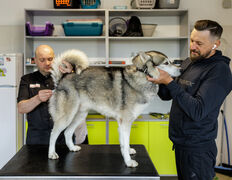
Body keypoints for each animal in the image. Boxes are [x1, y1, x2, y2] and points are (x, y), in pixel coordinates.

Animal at [48, 49, 180, 167]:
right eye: (166, 63)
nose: (180, 69)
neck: (142, 76)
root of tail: (62, 78)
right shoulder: (125, 122)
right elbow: (125, 143)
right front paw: (128, 162)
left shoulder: (123, 124)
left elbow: (124, 143)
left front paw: (128, 152)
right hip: (67, 117)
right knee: (53, 133)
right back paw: (51, 153)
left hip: (79, 115)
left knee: (67, 132)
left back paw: (72, 148)